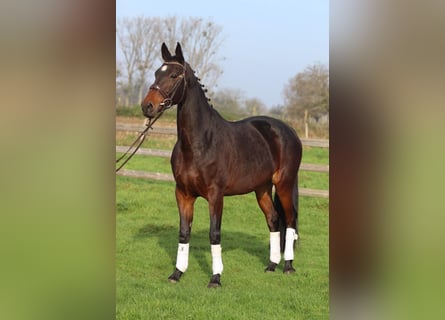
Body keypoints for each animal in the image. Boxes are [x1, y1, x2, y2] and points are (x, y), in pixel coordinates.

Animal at [142, 42, 302, 288]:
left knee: (290, 220)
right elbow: (184, 233)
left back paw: (288, 266)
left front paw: (215, 278)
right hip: (262, 188)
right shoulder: (183, 194)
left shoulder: (215, 195)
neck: (199, 143)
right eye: (156, 73)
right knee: (274, 220)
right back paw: (271, 265)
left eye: (174, 75)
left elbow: (214, 234)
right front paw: (177, 273)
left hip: (284, 183)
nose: (147, 106)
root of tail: (288, 131)